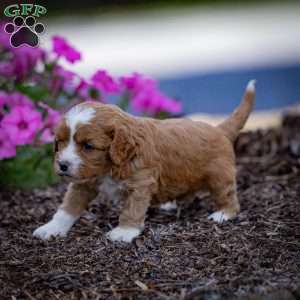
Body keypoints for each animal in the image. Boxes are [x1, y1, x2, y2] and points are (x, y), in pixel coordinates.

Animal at [33, 81, 255, 243]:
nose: (62, 165)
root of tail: (219, 129)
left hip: (220, 175)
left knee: (228, 195)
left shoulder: (140, 182)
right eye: (60, 142)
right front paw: (51, 228)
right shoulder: (84, 181)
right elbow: (68, 206)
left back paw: (223, 214)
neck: (110, 167)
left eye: (88, 146)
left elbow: (132, 208)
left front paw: (124, 231)